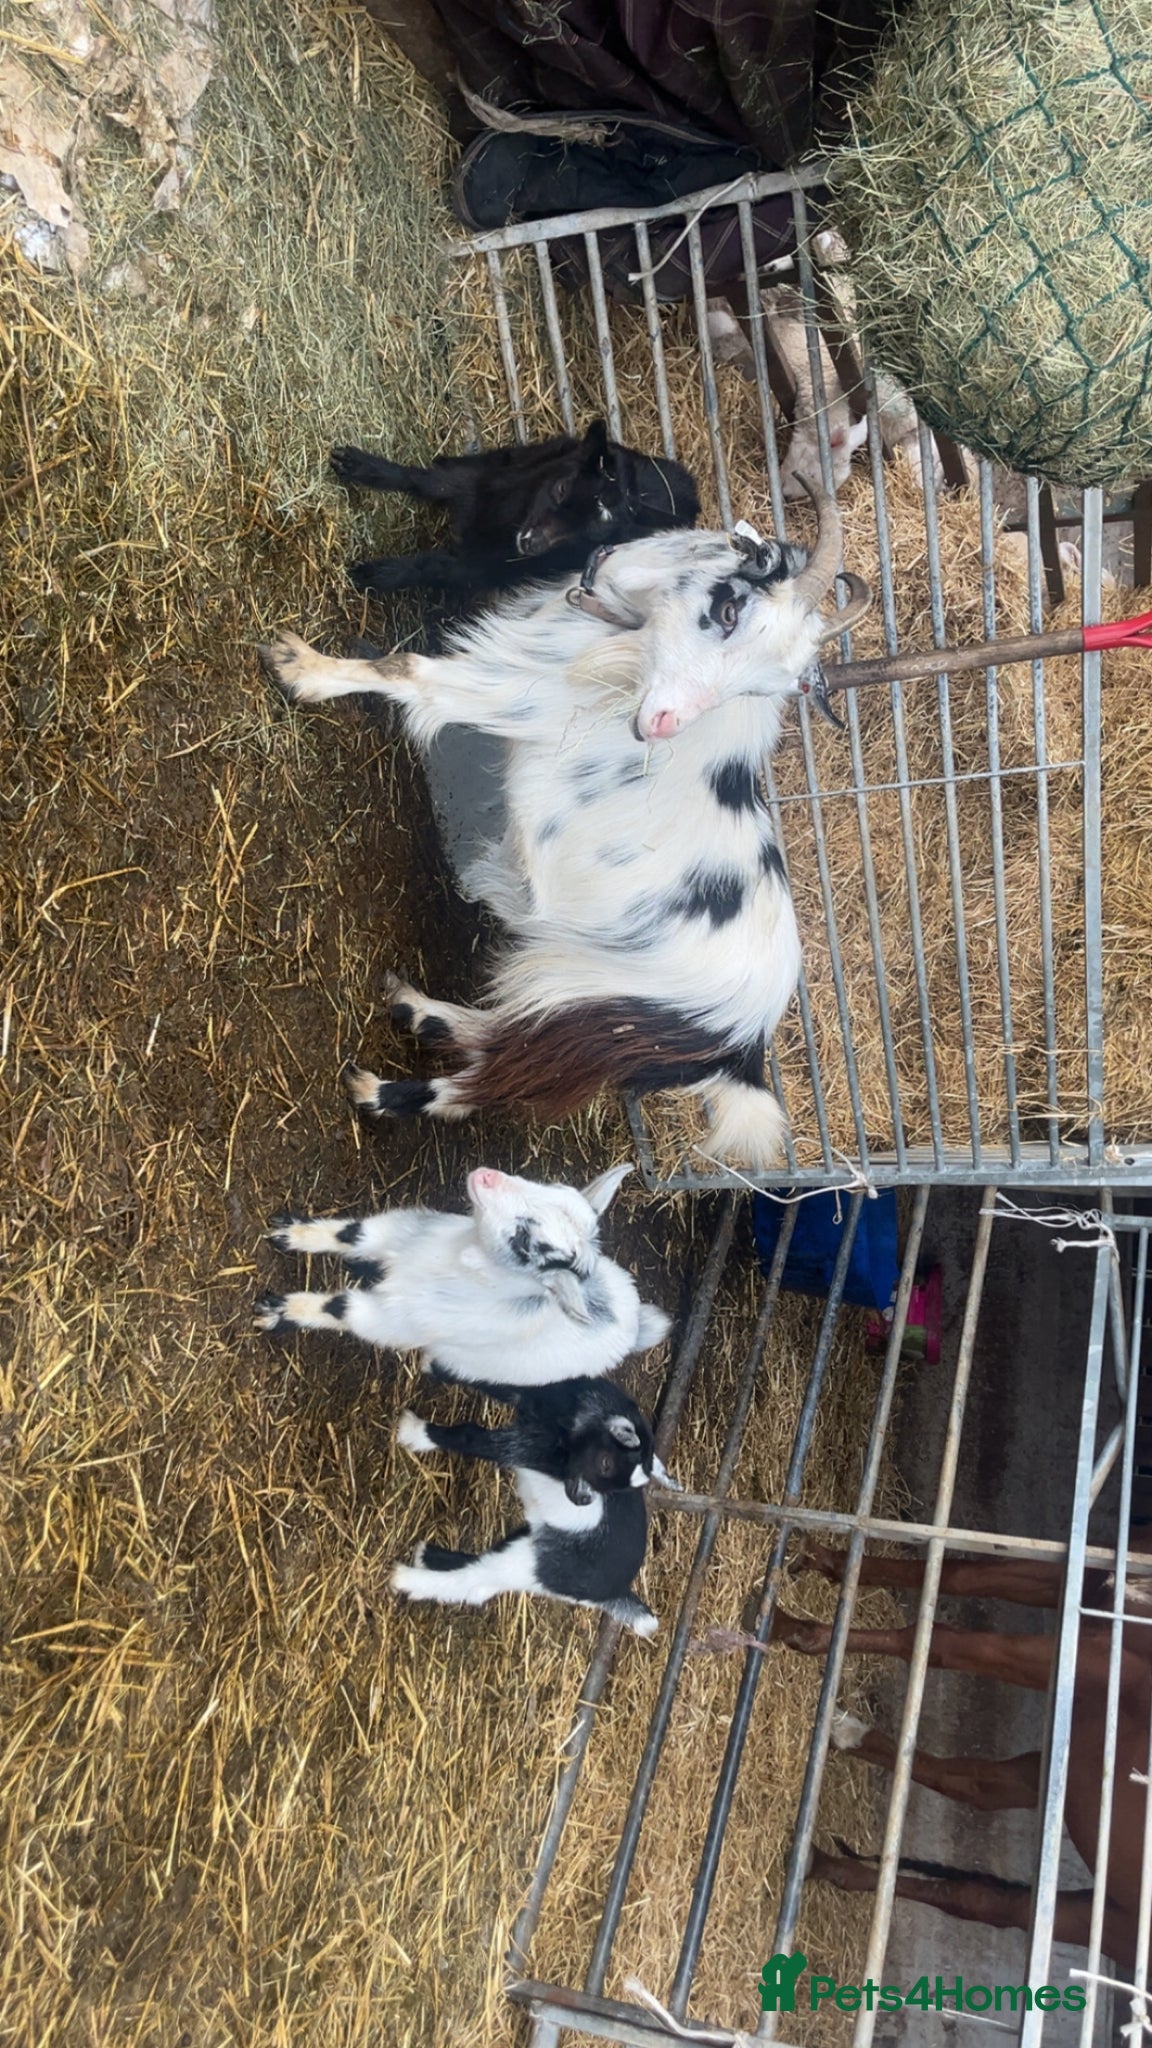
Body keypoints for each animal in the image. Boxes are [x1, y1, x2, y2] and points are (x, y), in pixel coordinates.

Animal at [253, 1163, 670, 1388]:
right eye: (551, 1185)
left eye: (524, 1242)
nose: (486, 1177)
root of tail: (635, 1321)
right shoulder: (397, 1233)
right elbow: (350, 1234)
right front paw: (292, 1233)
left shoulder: (391, 1320)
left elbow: (339, 1307)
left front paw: (277, 1313)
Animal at [258, 487, 870, 1169]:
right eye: (729, 609)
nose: (659, 724)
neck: (615, 634)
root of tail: (745, 1050)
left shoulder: (505, 691)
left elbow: (407, 669)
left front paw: (301, 667)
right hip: (571, 992)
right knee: (501, 1036)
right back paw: (414, 1010)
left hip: (593, 1010)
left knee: (492, 1081)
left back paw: (383, 1089)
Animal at [330, 417, 700, 600]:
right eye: (562, 489)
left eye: (591, 535)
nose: (532, 542)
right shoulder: (481, 476)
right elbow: (425, 480)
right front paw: (360, 466)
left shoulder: (489, 567)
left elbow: (434, 565)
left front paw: (376, 574)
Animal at [391, 1376, 672, 1636]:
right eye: (606, 1463)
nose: (582, 1500)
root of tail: (615, 1589)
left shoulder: (528, 1447)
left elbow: (471, 1437)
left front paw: (414, 1432)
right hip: (536, 1541)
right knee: (486, 1570)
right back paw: (425, 1555)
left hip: (542, 1566)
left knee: (475, 1582)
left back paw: (405, 1579)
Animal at [727, 1543, 1151, 1973]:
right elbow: (959, 1575)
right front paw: (834, 1562)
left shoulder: (1107, 1659)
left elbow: (934, 1641)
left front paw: (791, 1627)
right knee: (977, 1828)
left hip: (1116, 1918)